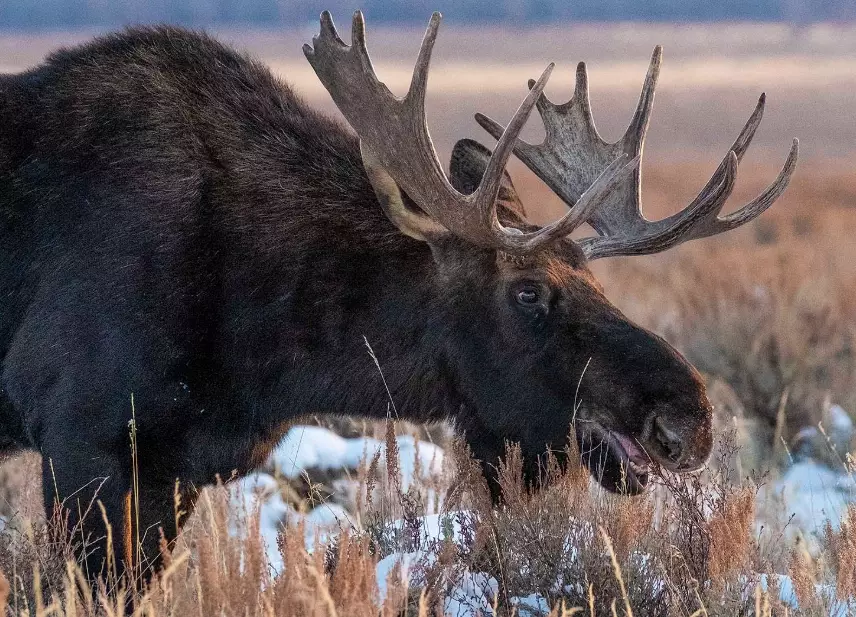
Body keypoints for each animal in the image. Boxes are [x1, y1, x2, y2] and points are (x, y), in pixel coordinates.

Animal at [0, 12, 797, 583]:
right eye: (528, 292)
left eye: (597, 282)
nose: (688, 418)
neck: (268, 354)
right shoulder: (82, 440)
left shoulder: (176, 472)